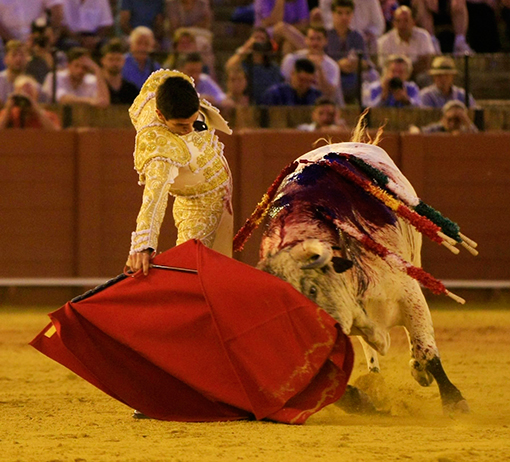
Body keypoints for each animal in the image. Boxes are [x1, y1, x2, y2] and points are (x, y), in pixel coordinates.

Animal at [235, 122, 476, 414]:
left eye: (313, 290)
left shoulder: (408, 295)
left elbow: (426, 349)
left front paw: (453, 399)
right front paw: (360, 401)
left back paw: (418, 371)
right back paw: (375, 374)